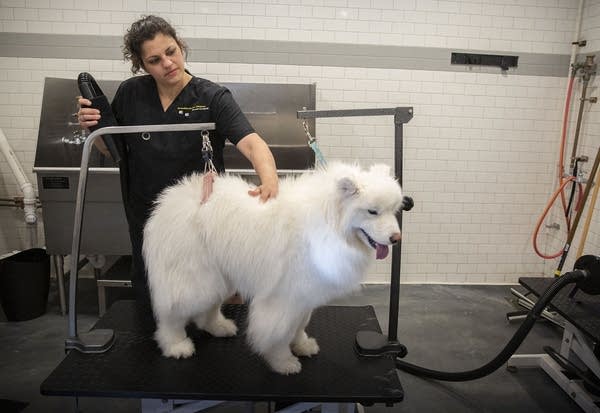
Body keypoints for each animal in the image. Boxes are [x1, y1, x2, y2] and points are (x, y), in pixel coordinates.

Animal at [142, 161, 404, 374]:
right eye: (372, 211)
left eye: (393, 210)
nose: (396, 238)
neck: (327, 223)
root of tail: (169, 200)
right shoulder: (283, 298)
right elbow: (279, 334)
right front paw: (283, 362)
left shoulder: (303, 296)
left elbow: (299, 325)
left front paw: (302, 346)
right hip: (195, 279)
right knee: (172, 314)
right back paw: (176, 345)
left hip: (219, 277)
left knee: (207, 310)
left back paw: (219, 327)